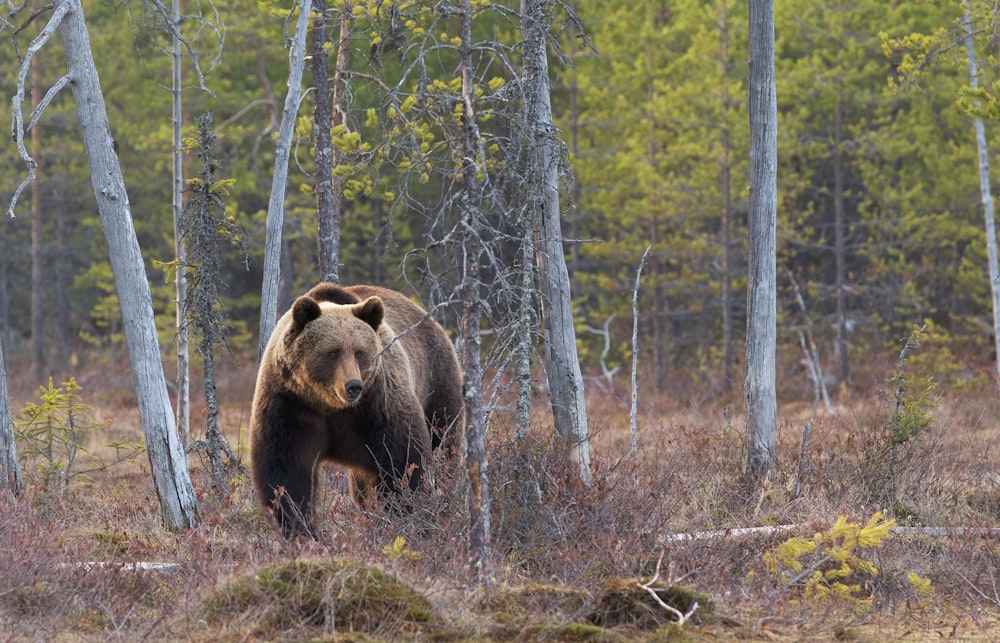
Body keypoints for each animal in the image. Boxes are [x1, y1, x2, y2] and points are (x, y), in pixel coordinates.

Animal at [250, 282, 468, 540]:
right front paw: (301, 530)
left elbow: (402, 462)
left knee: (443, 446)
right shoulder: (290, 404)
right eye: (333, 352)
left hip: (437, 383)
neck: (329, 405)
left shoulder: (377, 405)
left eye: (359, 351)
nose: (353, 386)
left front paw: (399, 517)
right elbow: (287, 471)